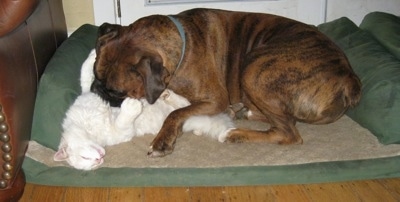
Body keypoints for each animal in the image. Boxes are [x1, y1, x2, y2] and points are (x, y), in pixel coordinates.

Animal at [91, 7, 362, 157]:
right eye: (95, 74)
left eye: (116, 91)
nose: (95, 90)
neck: (181, 44)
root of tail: (348, 76)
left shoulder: (215, 99)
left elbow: (175, 113)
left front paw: (162, 140)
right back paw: (242, 112)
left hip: (253, 69)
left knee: (288, 133)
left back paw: (235, 133)